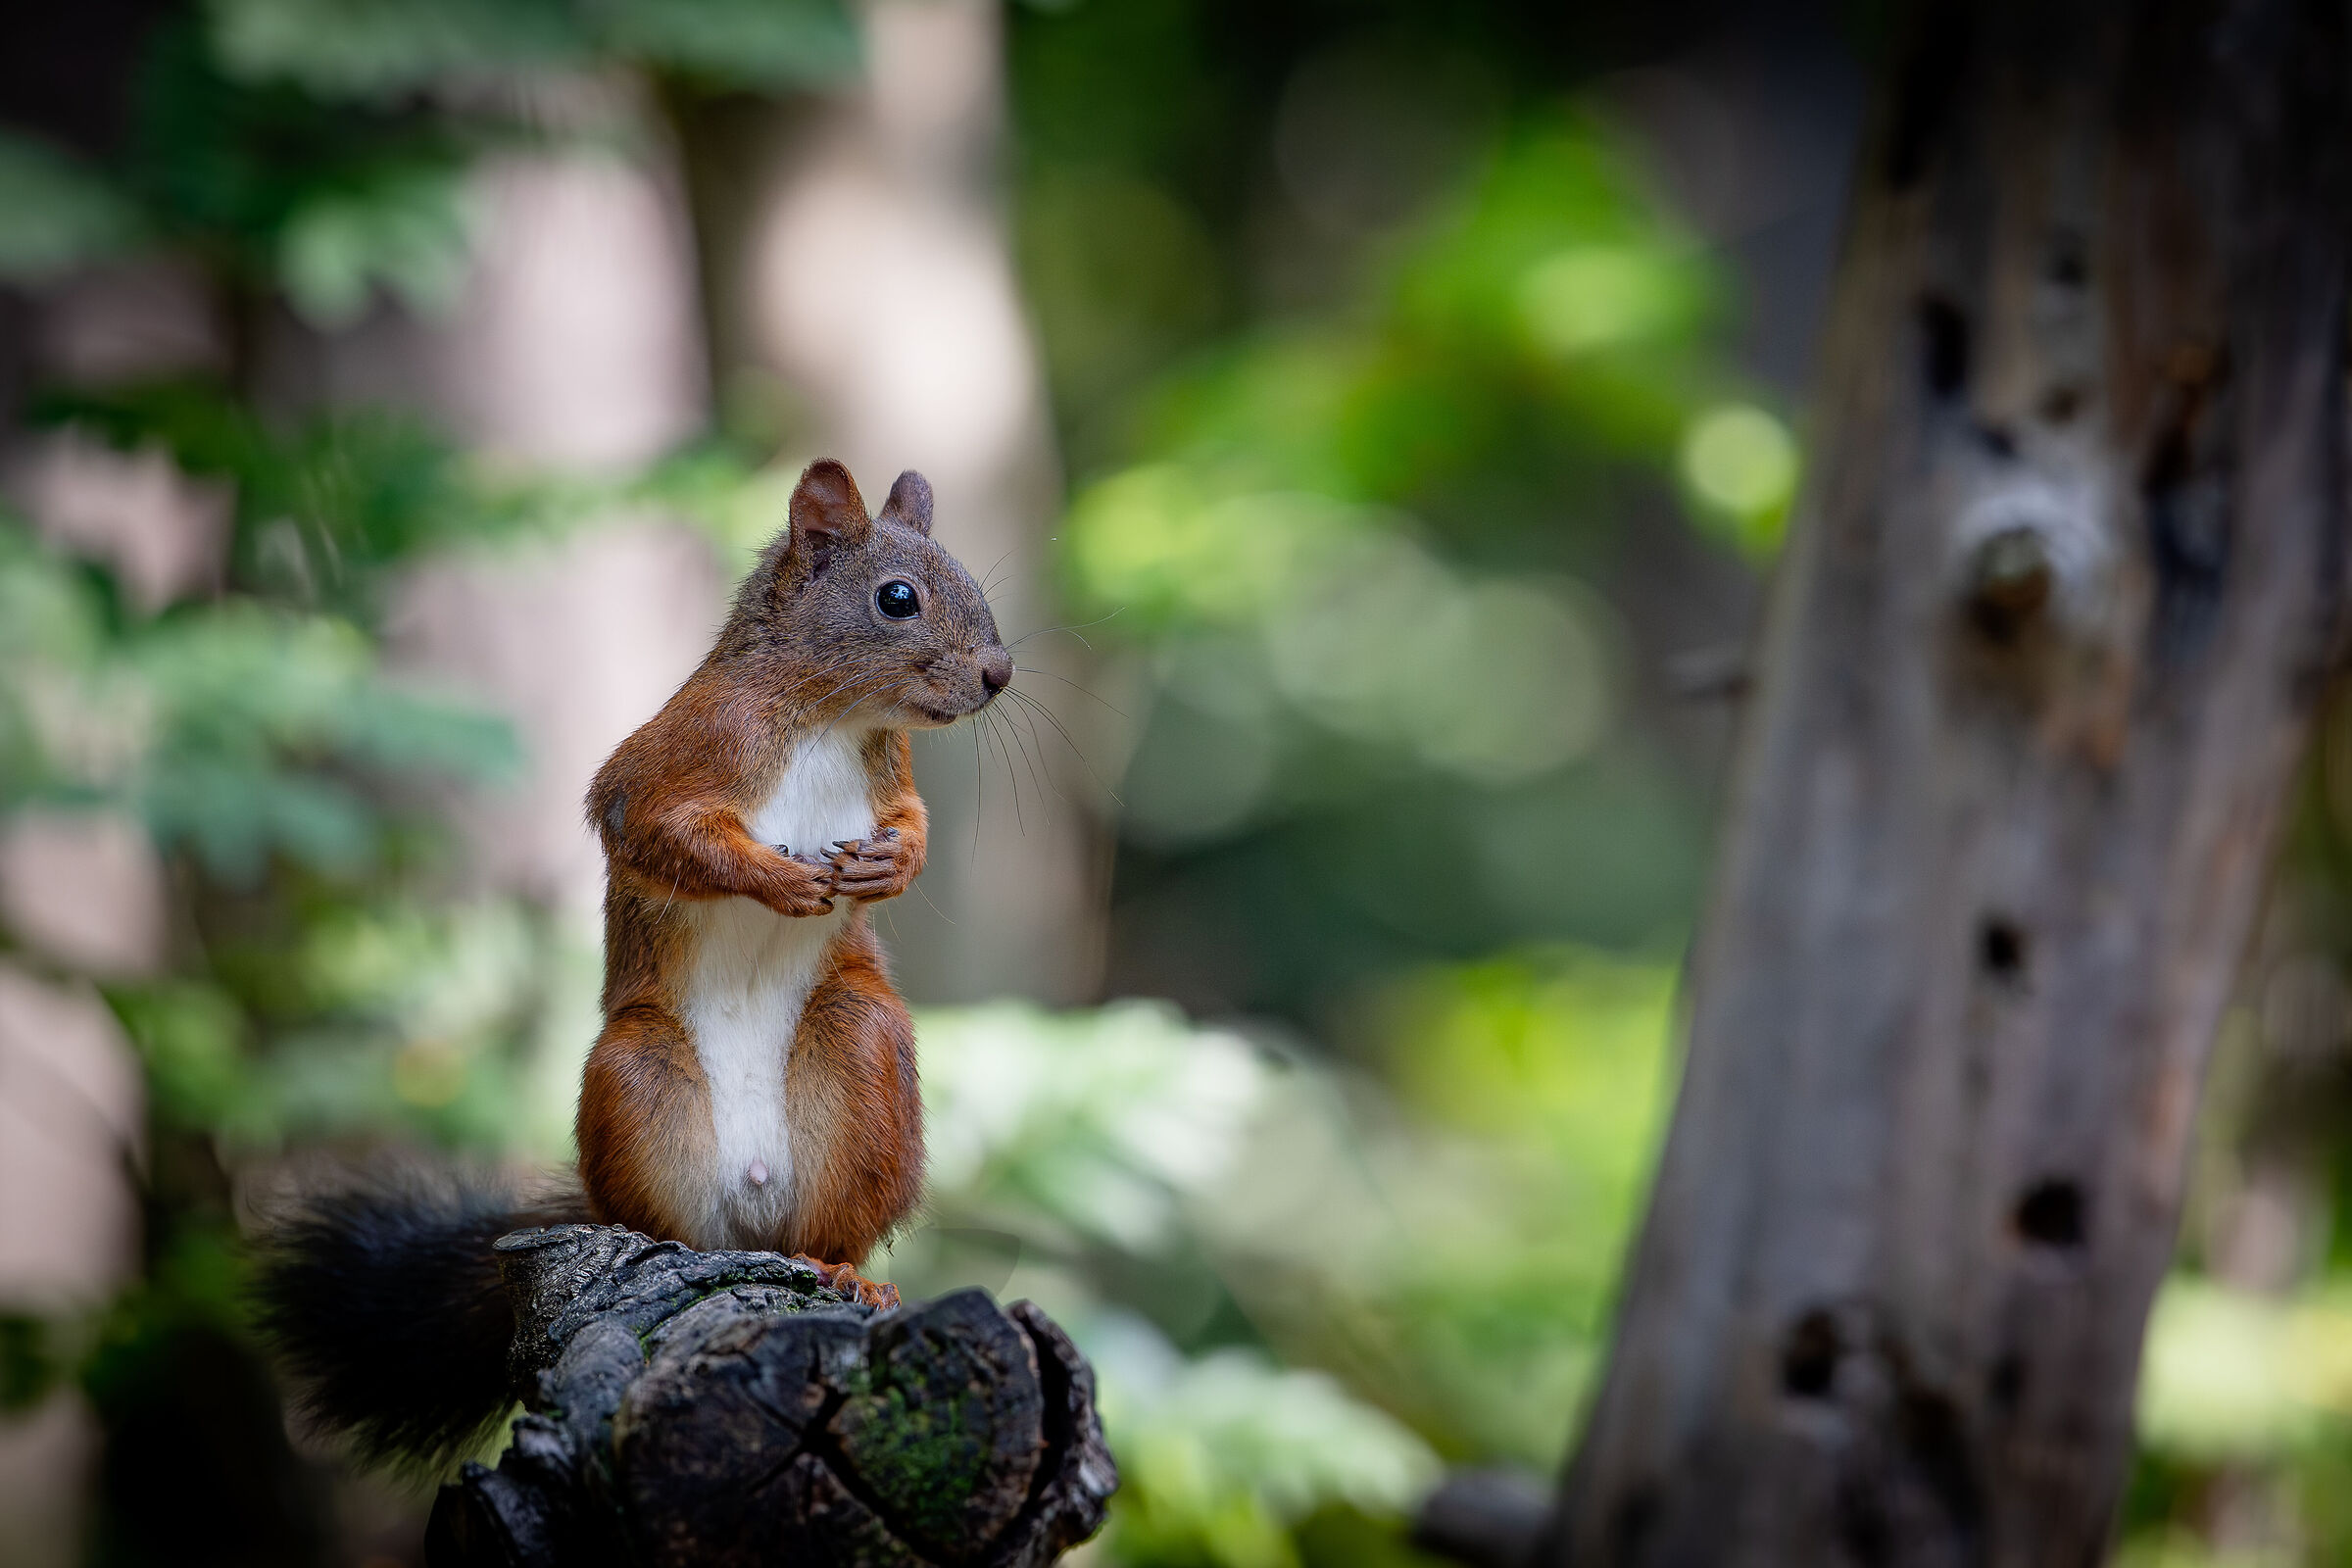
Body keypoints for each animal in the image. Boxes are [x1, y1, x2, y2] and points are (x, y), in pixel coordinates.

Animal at [253, 459, 1010, 1469]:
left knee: (836, 1219)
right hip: (634, 1073)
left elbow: (910, 823)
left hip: (862, 1051)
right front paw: (774, 878)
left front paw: (894, 867)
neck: (831, 718)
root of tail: (753, 1212)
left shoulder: (892, 775)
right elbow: (657, 829)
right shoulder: (675, 755)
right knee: (655, 1213)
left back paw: (849, 1274)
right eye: (898, 599)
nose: (999, 674)